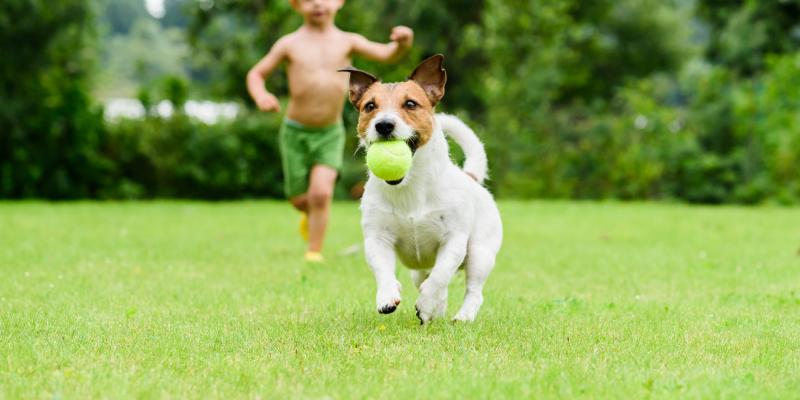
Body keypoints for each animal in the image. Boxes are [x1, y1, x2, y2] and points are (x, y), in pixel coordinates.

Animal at [340, 54, 504, 324]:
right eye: (370, 106)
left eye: (410, 104)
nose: (384, 125)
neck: (410, 186)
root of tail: (470, 177)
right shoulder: (377, 238)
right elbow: (383, 270)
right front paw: (387, 296)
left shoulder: (454, 240)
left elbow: (440, 276)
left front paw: (426, 304)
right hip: (420, 269)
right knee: (431, 281)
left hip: (480, 252)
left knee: (472, 290)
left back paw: (462, 316)